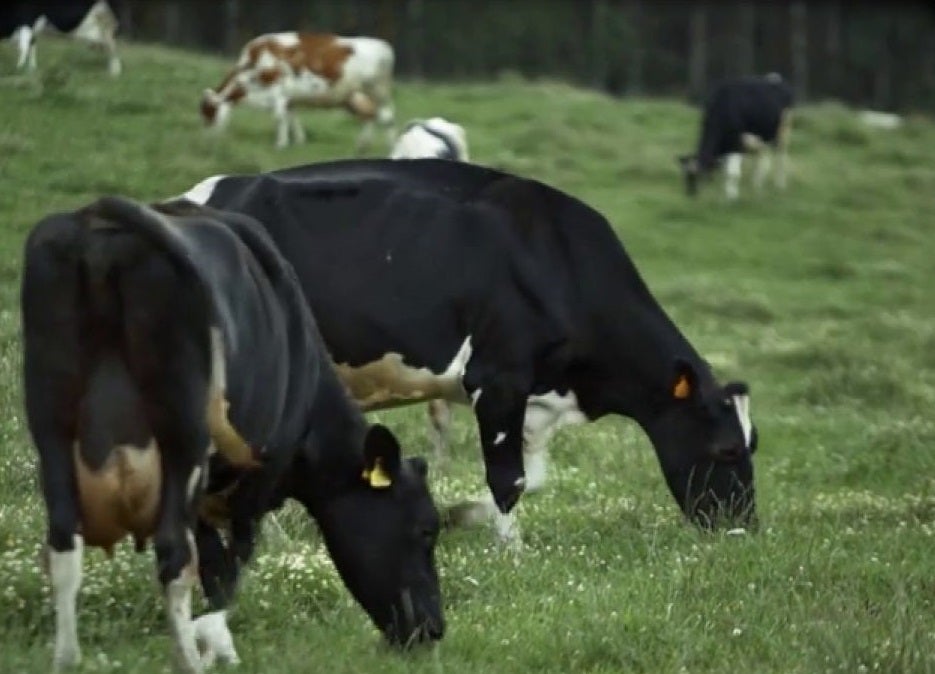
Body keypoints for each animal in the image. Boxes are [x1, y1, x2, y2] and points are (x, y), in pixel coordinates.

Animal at [21, 195, 443, 672]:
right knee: (174, 555)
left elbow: (213, 564)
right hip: (182, 438)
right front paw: (218, 639)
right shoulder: (254, 482)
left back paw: (67, 659)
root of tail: (103, 224)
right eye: (426, 530)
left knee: (64, 543)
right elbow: (228, 568)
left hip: (51, 421)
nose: (434, 628)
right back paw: (189, 661)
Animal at [172, 159, 759, 547]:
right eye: (728, 449)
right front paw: (511, 550)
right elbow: (509, 479)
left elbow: (531, 477)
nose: (745, 530)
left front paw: (463, 516)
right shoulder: (497, 378)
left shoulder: (533, 398)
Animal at [200, 31, 395, 151]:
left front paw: (280, 144)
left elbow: (279, 117)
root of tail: (383, 45)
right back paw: (362, 146)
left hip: (377, 89)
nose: (207, 142)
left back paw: (391, 149)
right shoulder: (289, 98)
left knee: (387, 117)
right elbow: (291, 117)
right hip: (355, 96)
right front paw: (298, 141)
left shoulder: (278, 89)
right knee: (369, 116)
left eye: (209, 112)